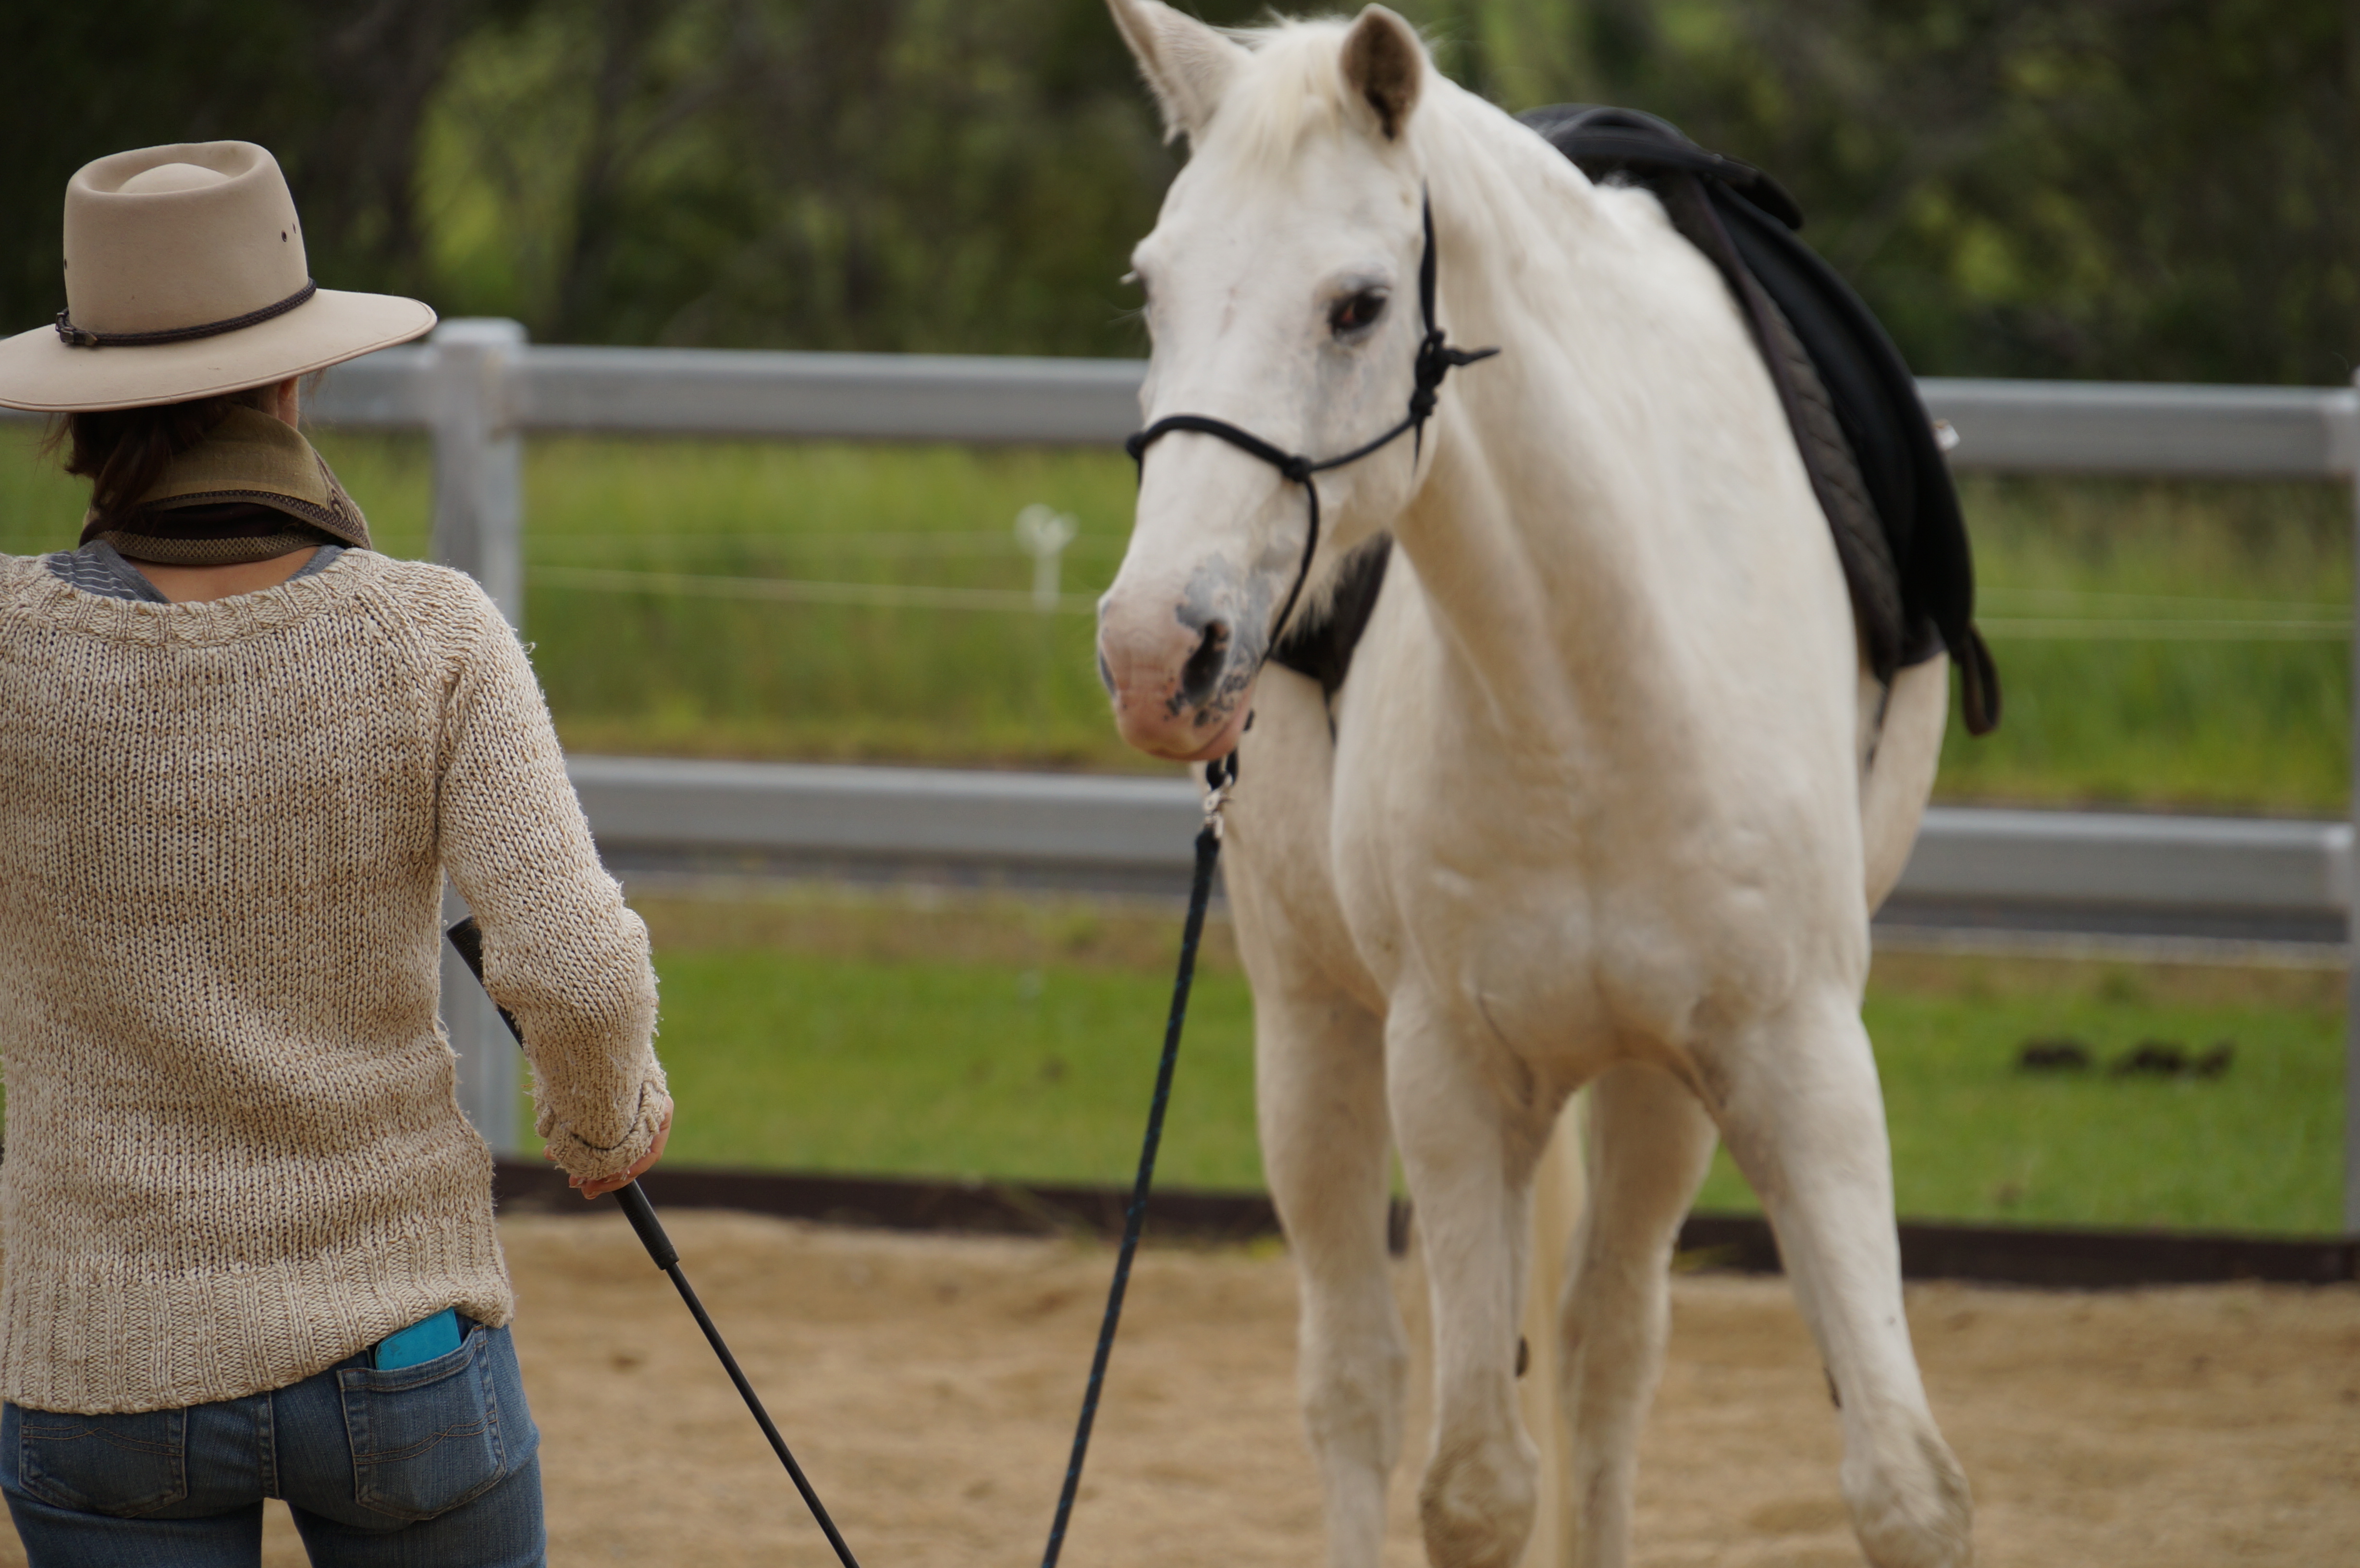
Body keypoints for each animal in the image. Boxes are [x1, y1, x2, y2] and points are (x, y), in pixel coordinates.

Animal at [1090, 6, 1973, 1567]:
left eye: (1357, 305)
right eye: (1151, 288)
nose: (1153, 648)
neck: (1594, 680)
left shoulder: (1800, 1060)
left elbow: (1900, 1483)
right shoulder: (1446, 1071)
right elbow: (1473, 1482)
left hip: (1656, 1090)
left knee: (1601, 1348)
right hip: (1312, 1030)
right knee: (1355, 1377)